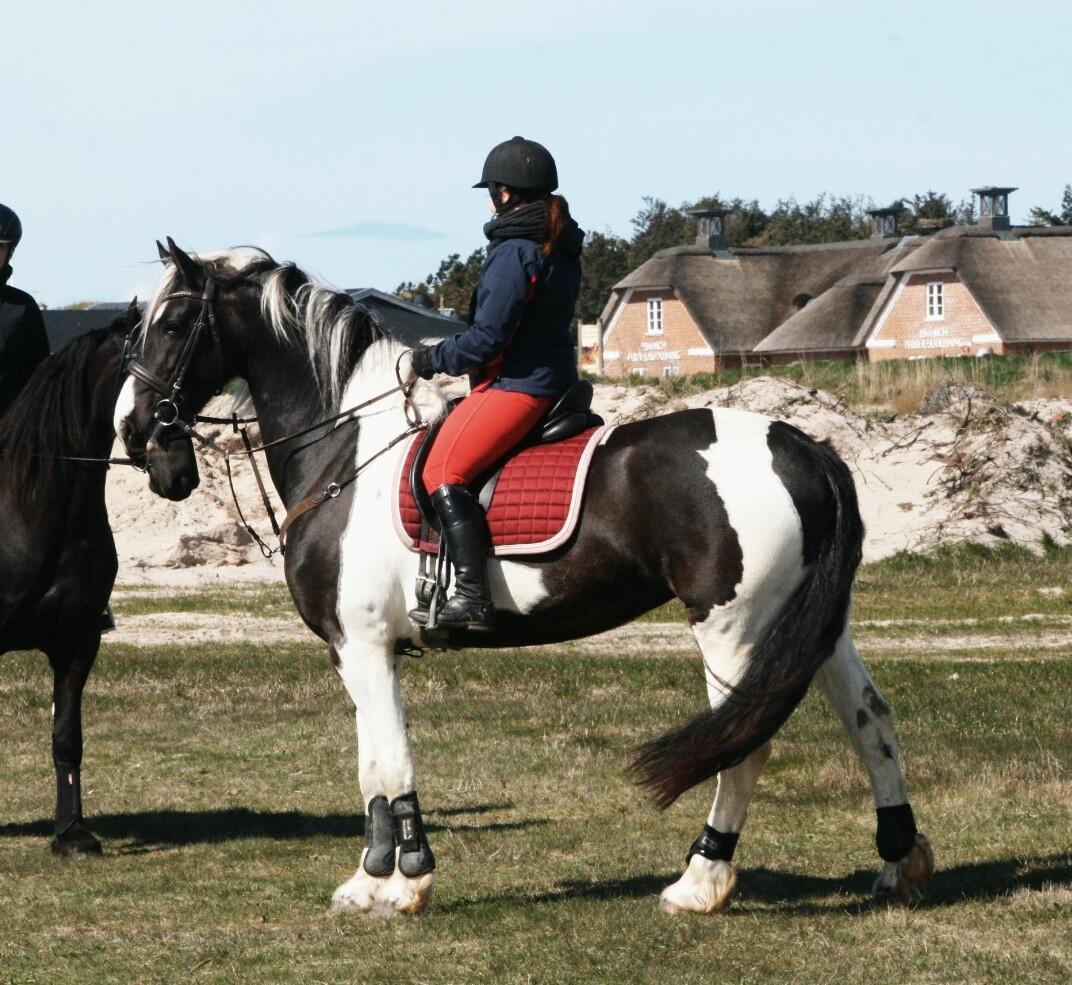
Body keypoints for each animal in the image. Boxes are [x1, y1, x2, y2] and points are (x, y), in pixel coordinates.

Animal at [117, 242, 934, 921]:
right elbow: (371, 766)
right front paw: (370, 879)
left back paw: (699, 883)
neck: (345, 449)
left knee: (745, 744)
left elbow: (393, 759)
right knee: (871, 719)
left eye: (176, 320)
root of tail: (804, 446)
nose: (133, 432)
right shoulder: (353, 649)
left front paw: (408, 882)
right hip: (813, 627)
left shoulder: (365, 645)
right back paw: (900, 862)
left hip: (734, 629)